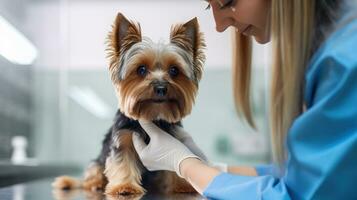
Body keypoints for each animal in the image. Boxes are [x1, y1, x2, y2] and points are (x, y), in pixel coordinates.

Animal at [51, 12, 204, 197]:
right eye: (141, 69)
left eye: (174, 70)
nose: (161, 87)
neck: (152, 117)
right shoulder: (123, 138)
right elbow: (122, 162)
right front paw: (125, 186)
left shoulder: (173, 137)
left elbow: (172, 163)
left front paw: (182, 184)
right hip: (96, 162)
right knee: (91, 174)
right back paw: (95, 184)